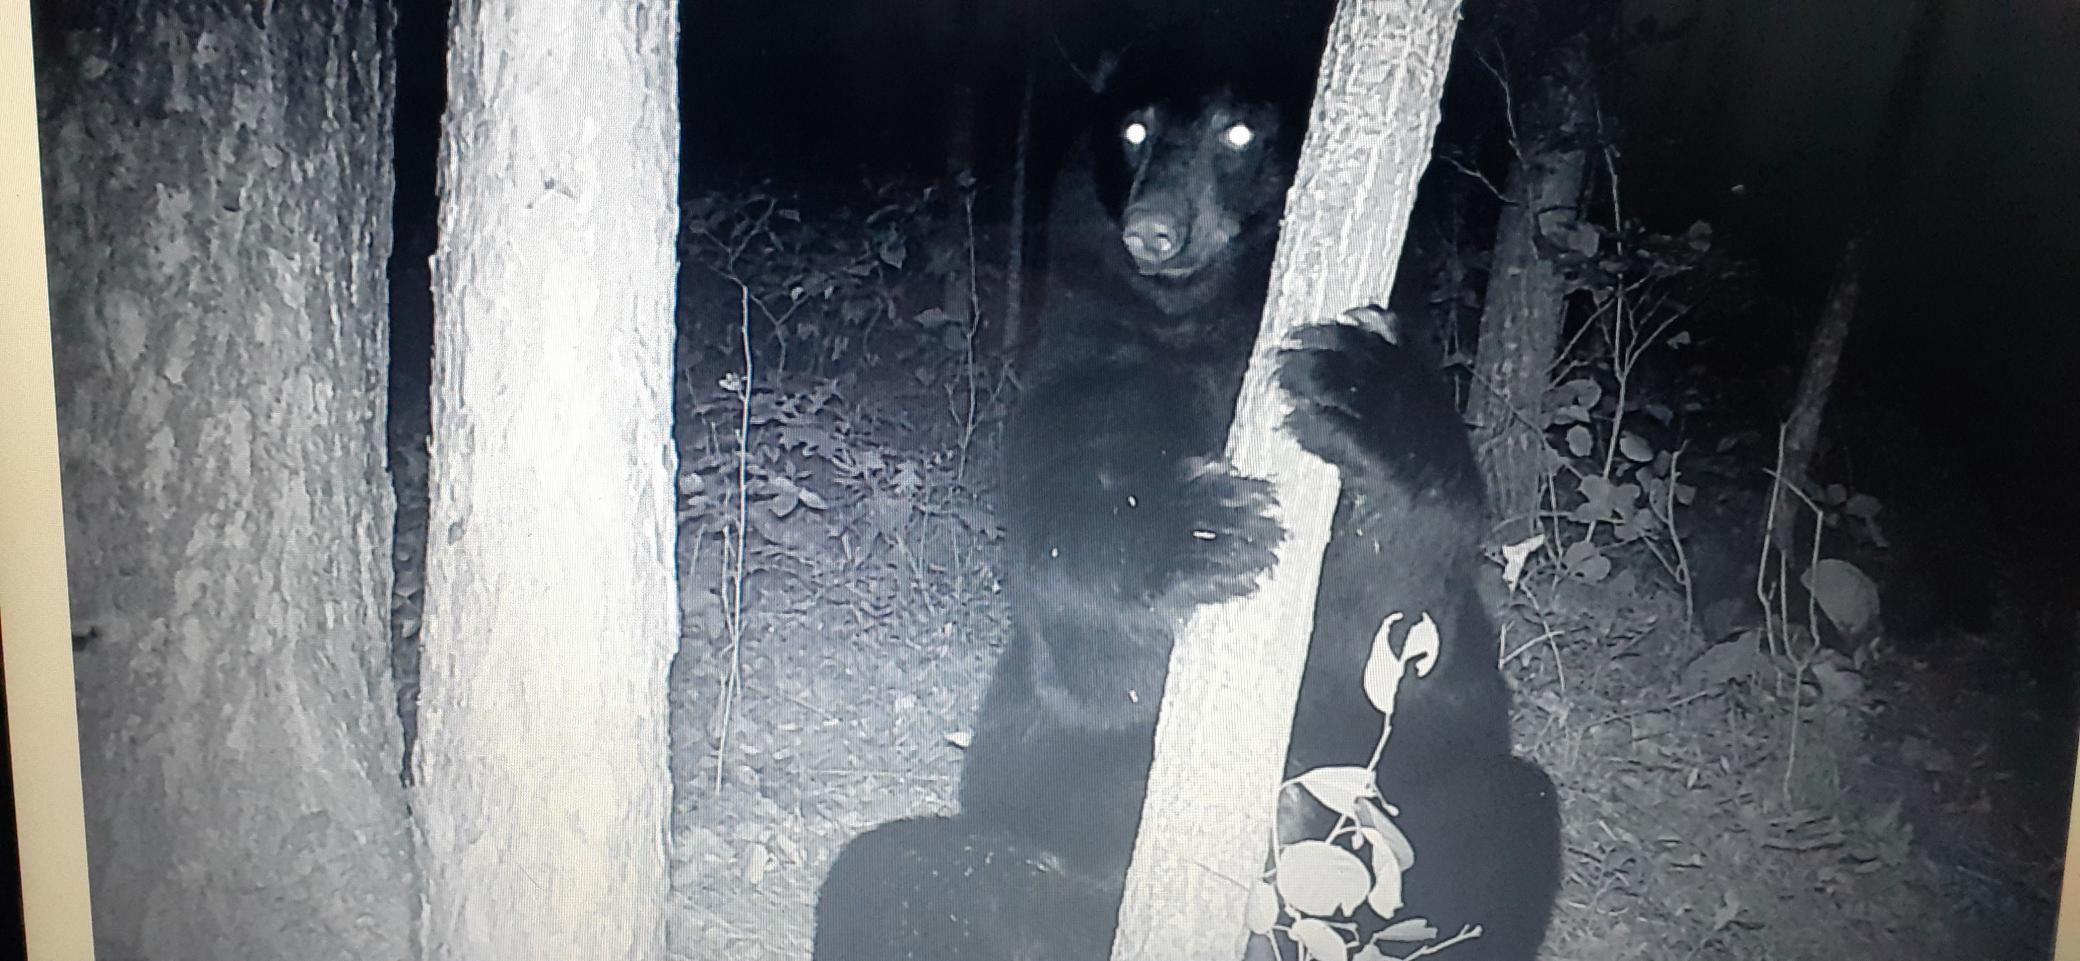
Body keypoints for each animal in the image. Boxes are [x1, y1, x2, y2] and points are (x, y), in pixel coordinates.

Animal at [815, 24, 1561, 961]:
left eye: (1238, 131)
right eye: (1134, 128)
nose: (1154, 232)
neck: (1200, 326)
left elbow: (1396, 627)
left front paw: (1361, 390)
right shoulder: (1087, 370)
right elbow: (1073, 614)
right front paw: (1202, 530)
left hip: (1419, 839)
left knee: (1509, 821)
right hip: (1040, 887)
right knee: (891, 873)